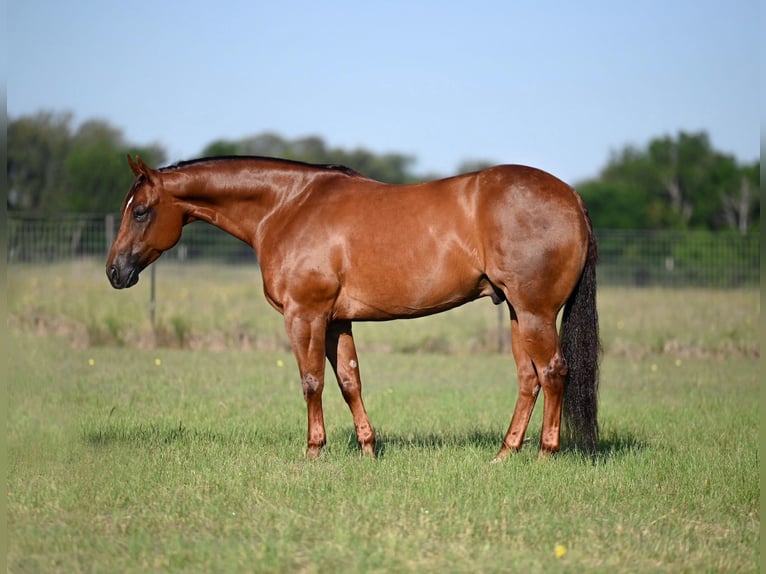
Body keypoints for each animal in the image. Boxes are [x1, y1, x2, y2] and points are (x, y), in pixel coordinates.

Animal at [107, 155, 600, 460]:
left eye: (141, 211)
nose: (115, 271)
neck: (287, 207)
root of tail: (572, 197)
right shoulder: (336, 320)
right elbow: (349, 381)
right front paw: (367, 449)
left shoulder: (305, 315)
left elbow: (311, 382)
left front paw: (312, 451)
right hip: (517, 312)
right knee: (528, 379)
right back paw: (504, 453)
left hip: (535, 312)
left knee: (553, 371)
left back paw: (545, 454)